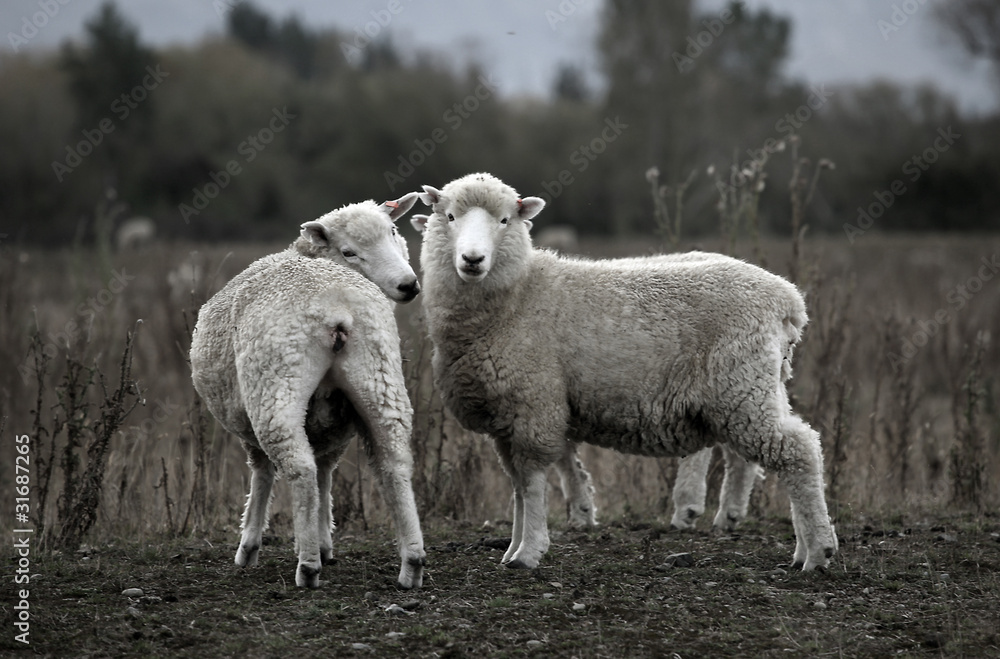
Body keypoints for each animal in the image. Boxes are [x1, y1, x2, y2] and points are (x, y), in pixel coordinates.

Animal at [190, 194, 425, 588]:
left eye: (393, 232)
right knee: (394, 464)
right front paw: (325, 540)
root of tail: (337, 308)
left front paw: (250, 546)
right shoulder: (335, 427)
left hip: (275, 388)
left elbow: (264, 473)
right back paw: (412, 563)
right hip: (380, 377)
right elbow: (325, 473)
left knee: (299, 469)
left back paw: (308, 566)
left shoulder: (251, 423)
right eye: (348, 251)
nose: (409, 285)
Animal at [411, 172, 837, 572]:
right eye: (449, 216)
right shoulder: (506, 416)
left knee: (799, 451)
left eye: (503, 220)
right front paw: (513, 548)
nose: (472, 260)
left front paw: (529, 551)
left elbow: (531, 483)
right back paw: (794, 545)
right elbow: (517, 485)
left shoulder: (535, 405)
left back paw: (817, 551)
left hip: (740, 387)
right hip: (754, 387)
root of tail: (785, 298)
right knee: (772, 452)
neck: (519, 293)